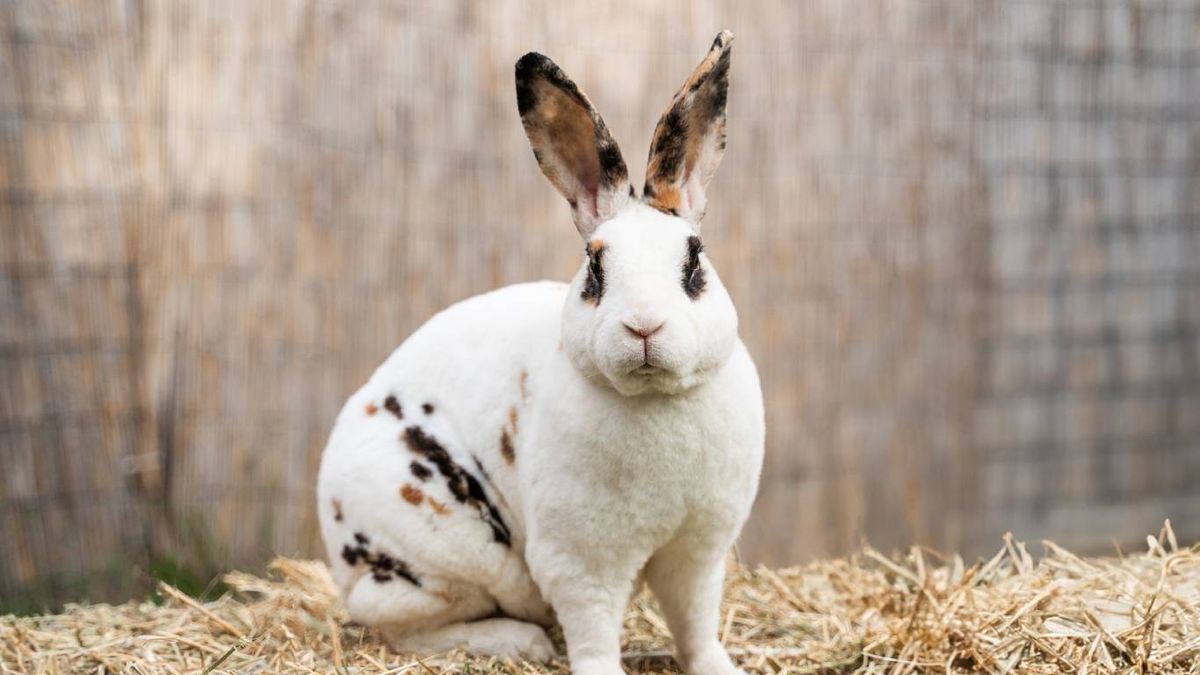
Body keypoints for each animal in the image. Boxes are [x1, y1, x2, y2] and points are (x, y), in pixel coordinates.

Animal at [317, 30, 764, 675]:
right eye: (595, 269)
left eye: (694, 261)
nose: (644, 326)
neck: (656, 400)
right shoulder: (580, 561)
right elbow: (594, 630)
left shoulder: (698, 551)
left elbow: (696, 623)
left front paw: (719, 668)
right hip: (445, 556)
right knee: (399, 624)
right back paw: (519, 642)